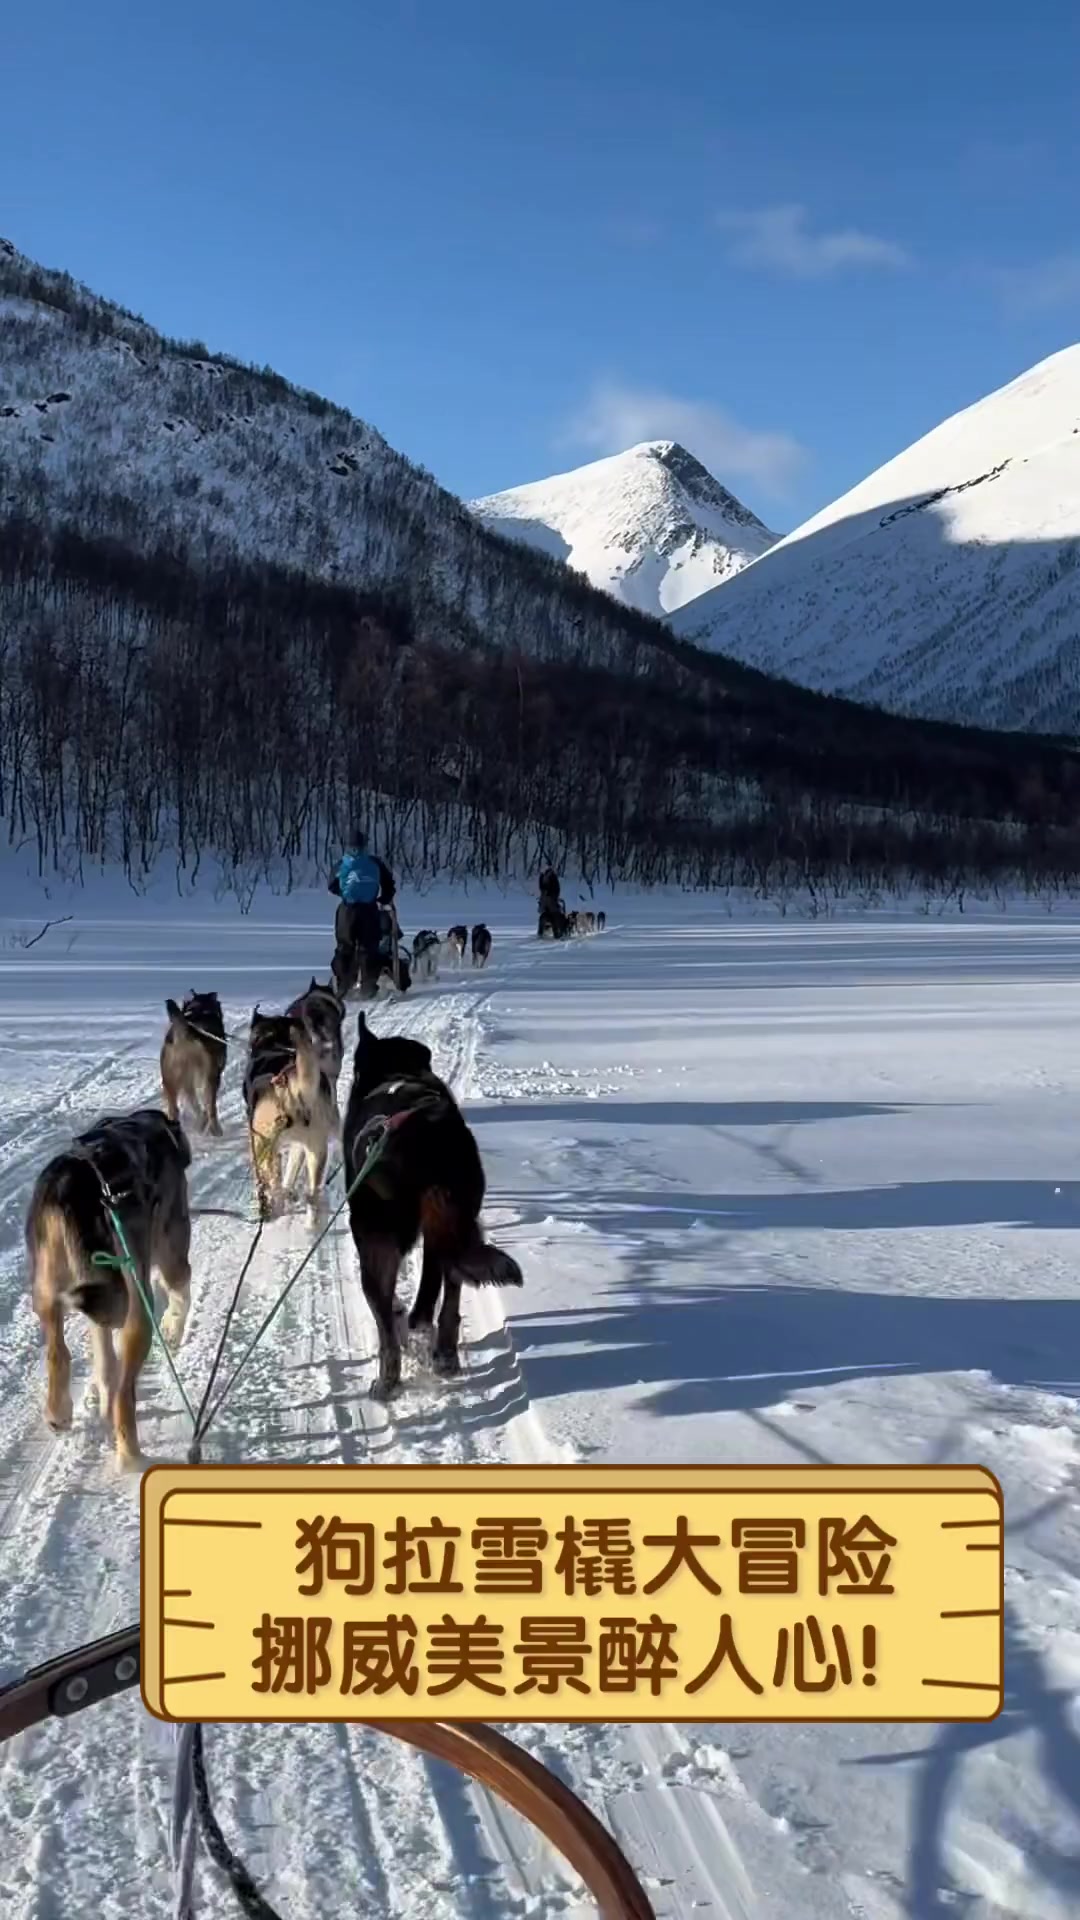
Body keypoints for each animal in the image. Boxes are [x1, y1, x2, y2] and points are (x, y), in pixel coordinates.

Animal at [27, 1113, 193, 1466]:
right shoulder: (171, 1253)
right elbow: (180, 1290)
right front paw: (173, 1327)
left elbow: (103, 1358)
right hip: (138, 1309)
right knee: (122, 1393)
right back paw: (132, 1458)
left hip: (47, 1293)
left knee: (58, 1353)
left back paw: (59, 1412)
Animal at [243, 1006, 336, 1213]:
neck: (272, 1042)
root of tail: (293, 1085)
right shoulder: (299, 1146)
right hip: (316, 1150)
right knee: (313, 1195)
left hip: (262, 1148)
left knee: (272, 1184)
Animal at [340, 1013, 518, 1405]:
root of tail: (425, 1137)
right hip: (455, 1220)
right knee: (449, 1290)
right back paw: (444, 1353)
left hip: (375, 1238)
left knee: (387, 1324)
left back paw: (388, 1378)